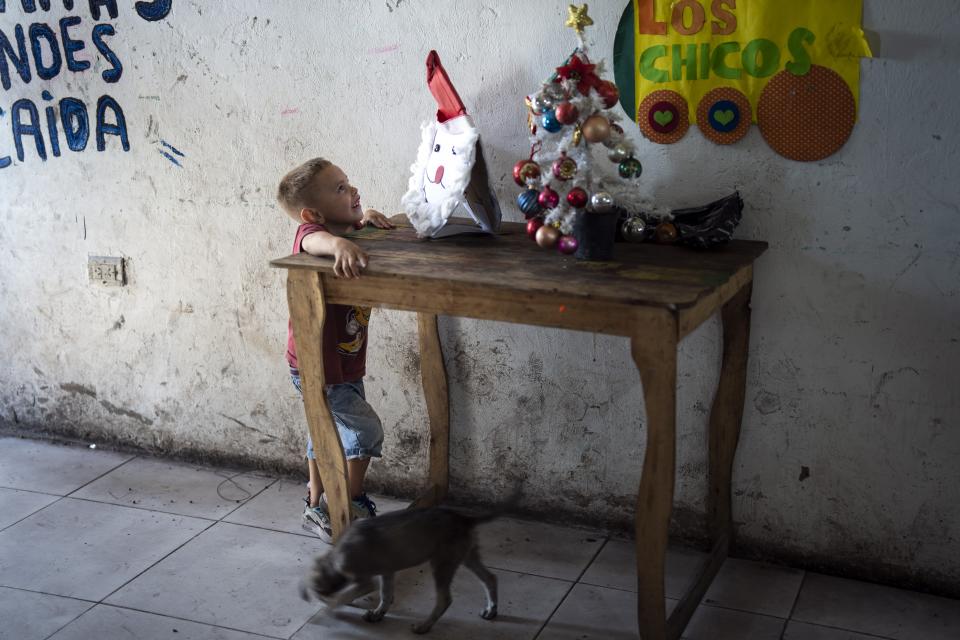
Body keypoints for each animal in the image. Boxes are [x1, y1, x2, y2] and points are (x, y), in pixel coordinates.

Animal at [302, 504, 498, 636]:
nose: (319, 598)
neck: (335, 557)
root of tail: (463, 518)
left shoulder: (365, 580)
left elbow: (346, 595)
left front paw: (330, 608)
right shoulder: (387, 572)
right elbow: (386, 595)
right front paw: (377, 614)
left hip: (442, 562)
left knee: (445, 599)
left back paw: (424, 627)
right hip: (466, 555)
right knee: (490, 578)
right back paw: (491, 610)